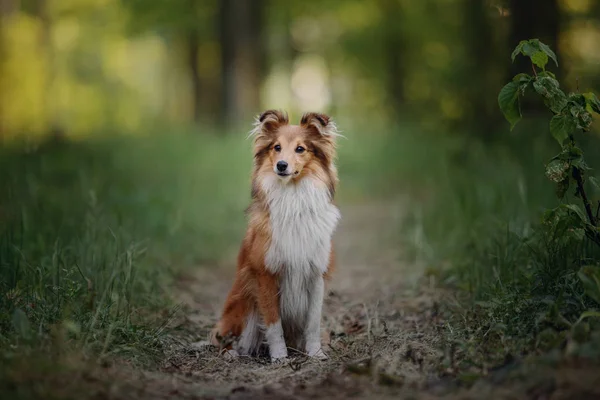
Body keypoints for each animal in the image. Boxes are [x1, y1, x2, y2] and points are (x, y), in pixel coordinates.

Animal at [212, 110, 342, 362]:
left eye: (300, 149)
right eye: (277, 147)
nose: (281, 166)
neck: (293, 197)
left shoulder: (316, 274)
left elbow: (313, 322)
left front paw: (316, 353)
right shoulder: (265, 275)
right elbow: (273, 323)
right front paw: (280, 357)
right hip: (242, 305)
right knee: (224, 338)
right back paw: (231, 353)